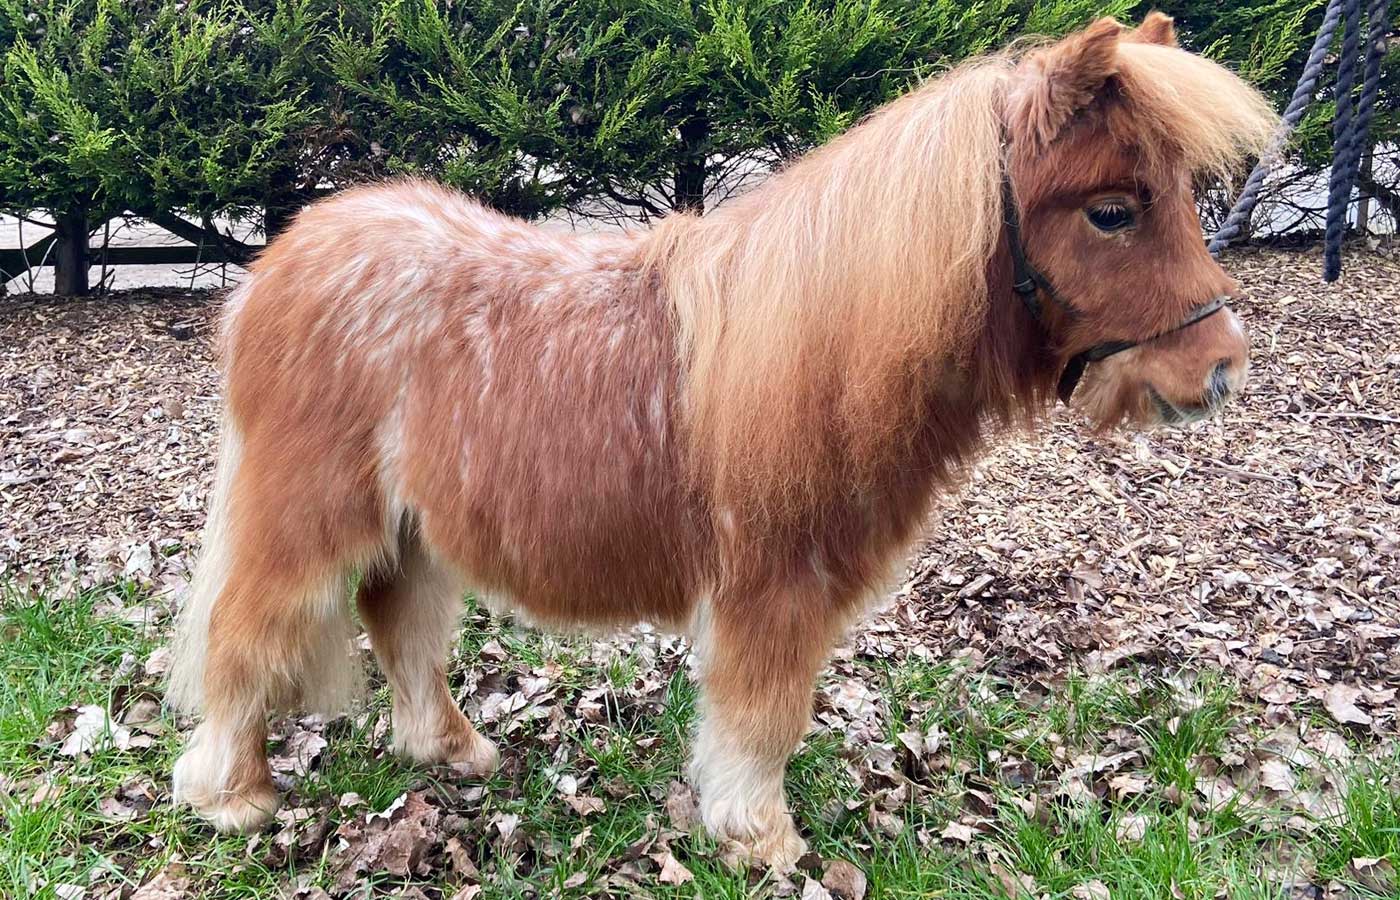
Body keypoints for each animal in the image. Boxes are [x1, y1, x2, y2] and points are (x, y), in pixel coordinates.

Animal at [168, 13, 1277, 870]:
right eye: (1110, 211)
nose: (1220, 368)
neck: (833, 342)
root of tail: (283, 261)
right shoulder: (772, 588)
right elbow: (762, 717)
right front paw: (759, 839)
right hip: (306, 515)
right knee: (248, 633)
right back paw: (232, 793)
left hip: (408, 526)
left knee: (396, 621)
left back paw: (449, 750)